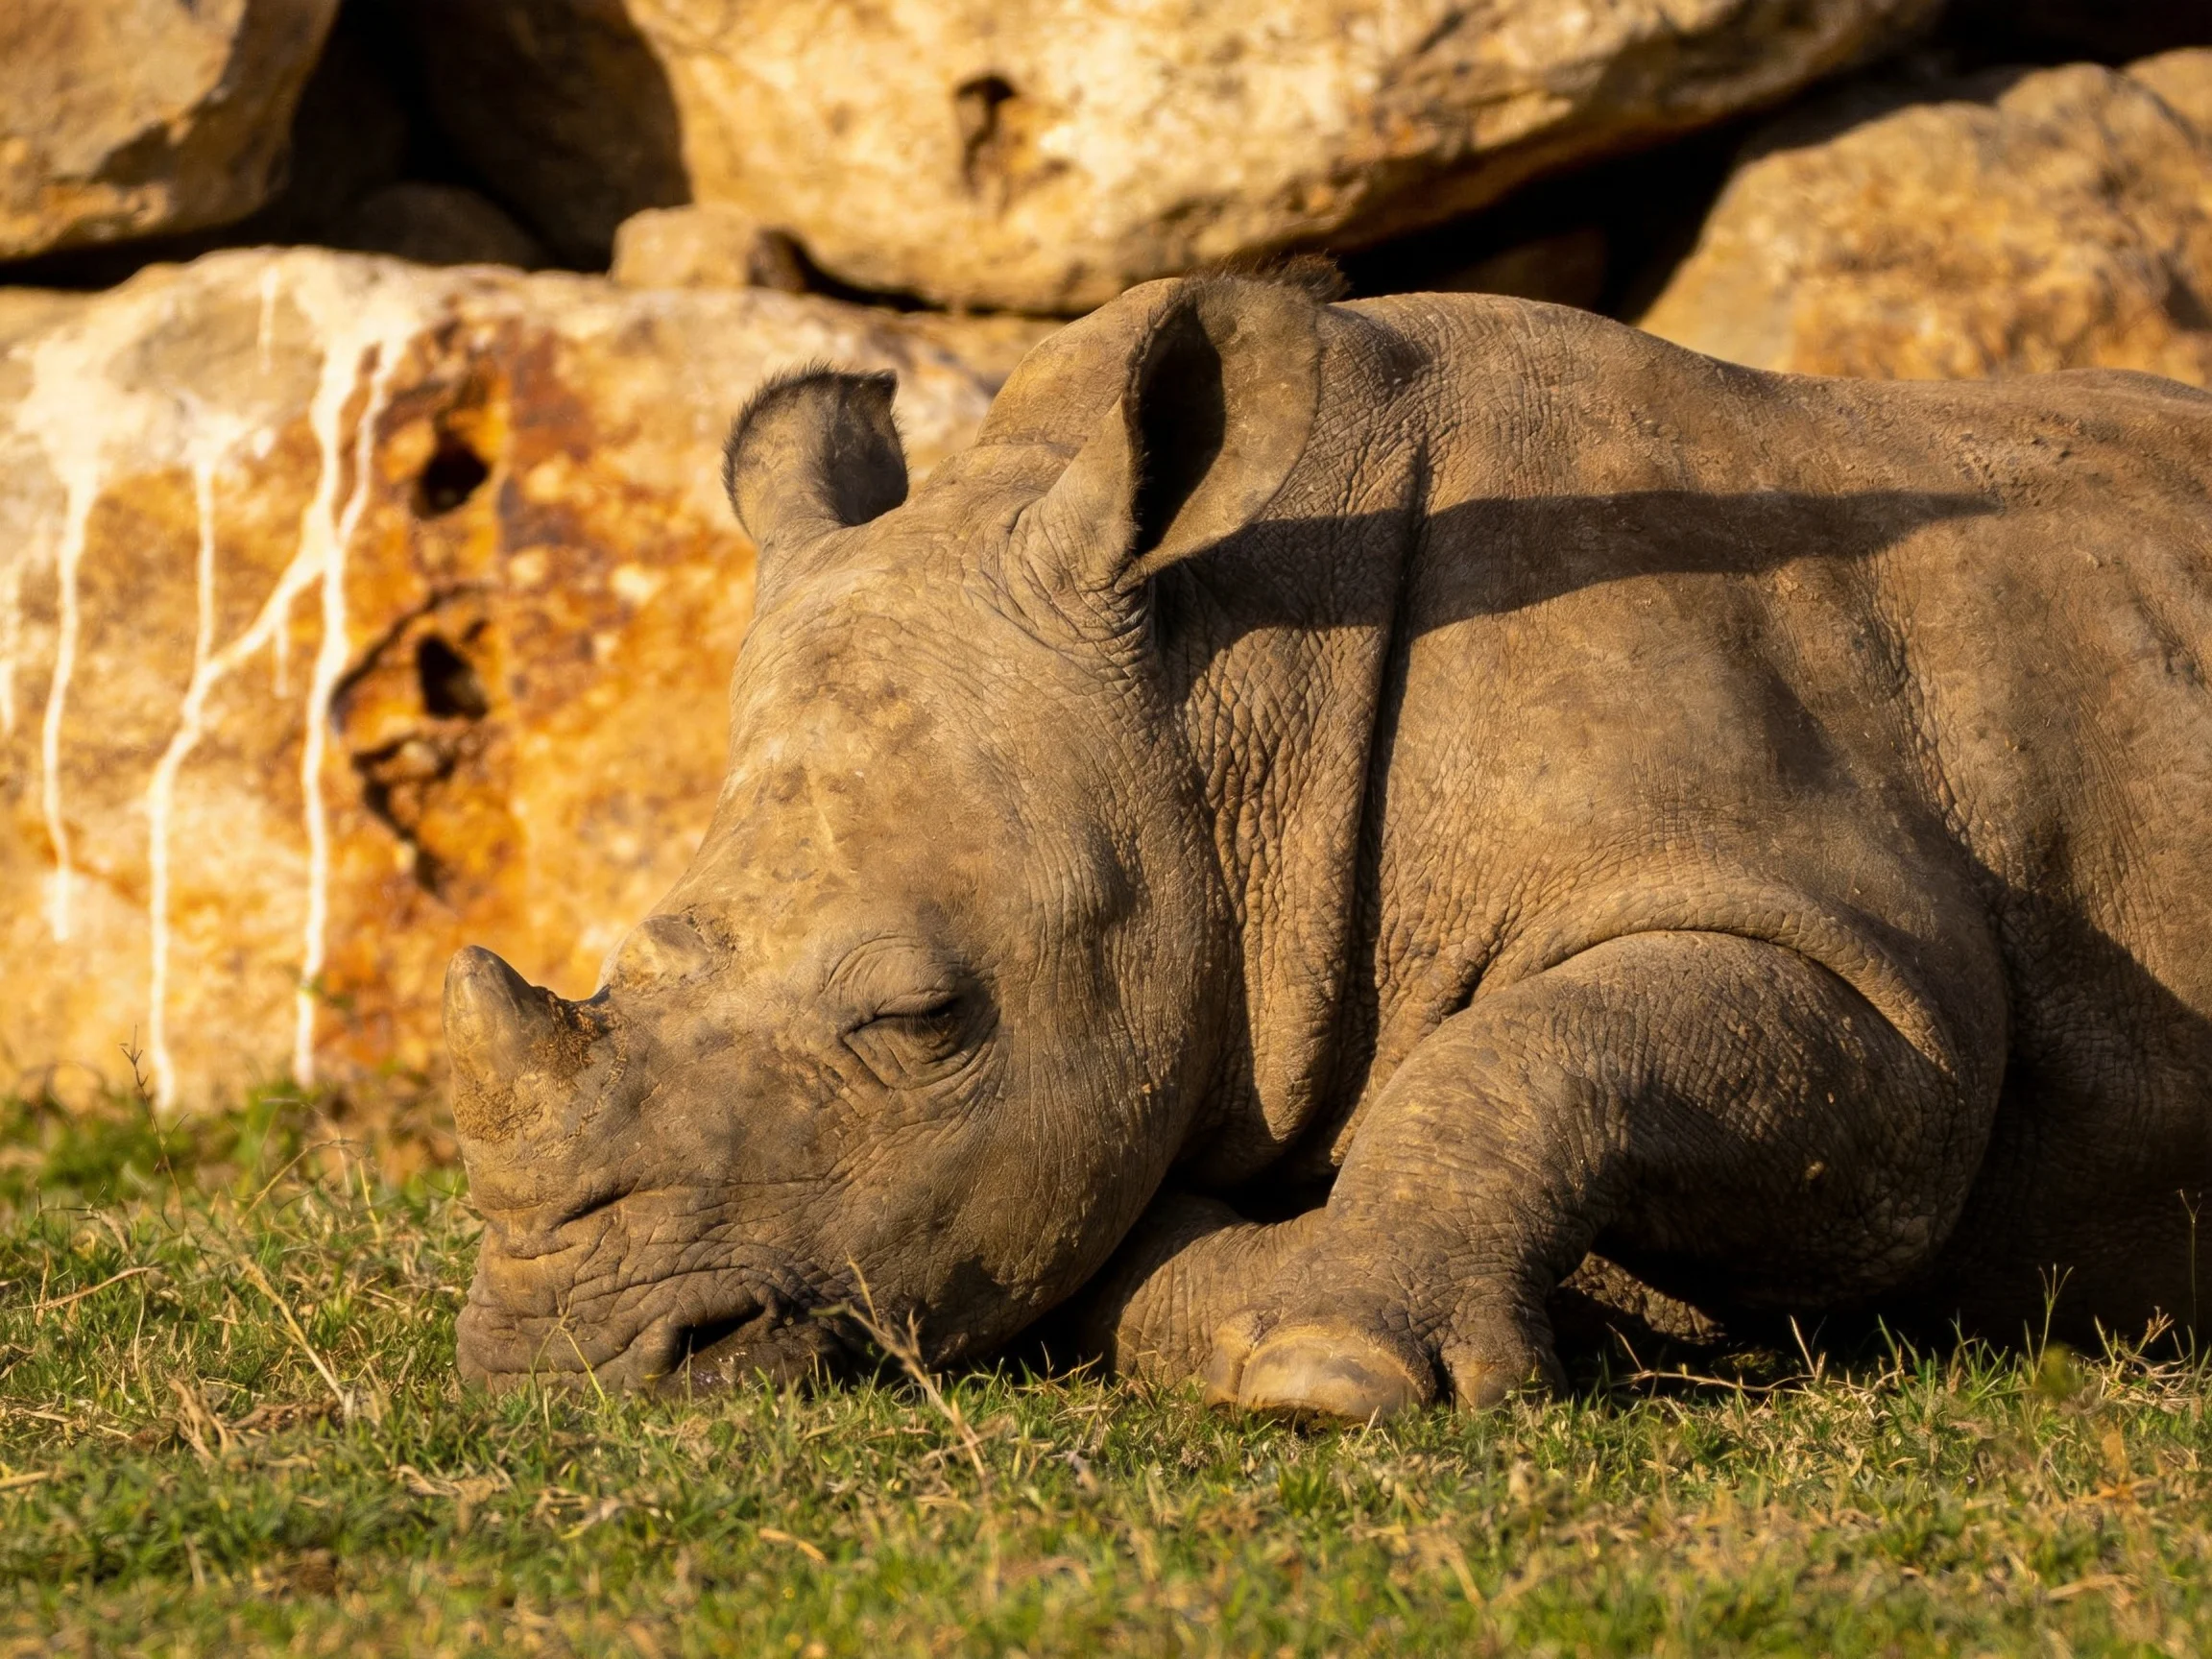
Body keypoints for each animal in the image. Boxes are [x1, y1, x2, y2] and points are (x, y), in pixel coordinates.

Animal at [445, 272, 2212, 1421]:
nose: (556, 1353)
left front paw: (1327, 1372)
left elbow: (1554, 1047)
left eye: (922, 1020)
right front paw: (1281, 1315)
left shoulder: (1855, 955)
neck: (1233, 691)